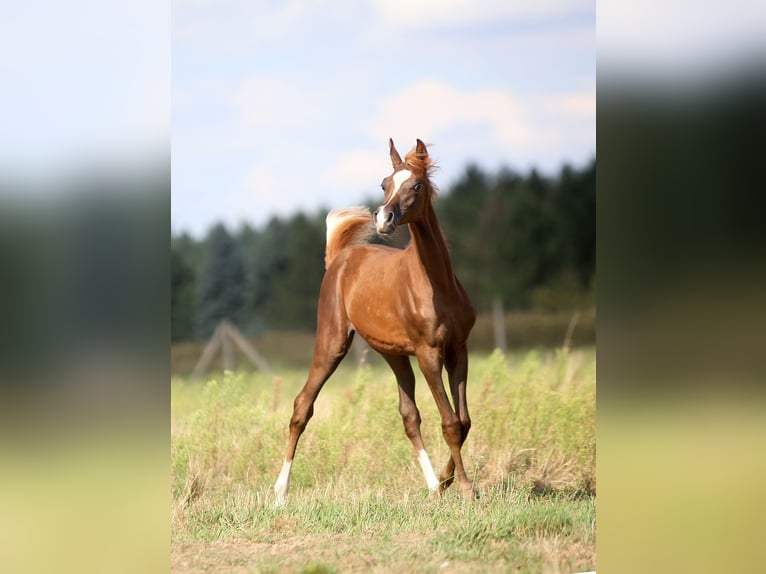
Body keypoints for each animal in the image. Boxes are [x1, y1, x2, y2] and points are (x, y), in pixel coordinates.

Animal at [274, 138, 476, 506]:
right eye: (384, 184)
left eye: (417, 185)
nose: (383, 218)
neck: (437, 284)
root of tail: (338, 260)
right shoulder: (428, 353)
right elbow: (450, 422)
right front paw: (468, 489)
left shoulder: (458, 349)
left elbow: (463, 420)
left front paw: (446, 481)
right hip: (332, 343)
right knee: (302, 406)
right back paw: (280, 493)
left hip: (393, 354)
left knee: (409, 416)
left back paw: (432, 486)